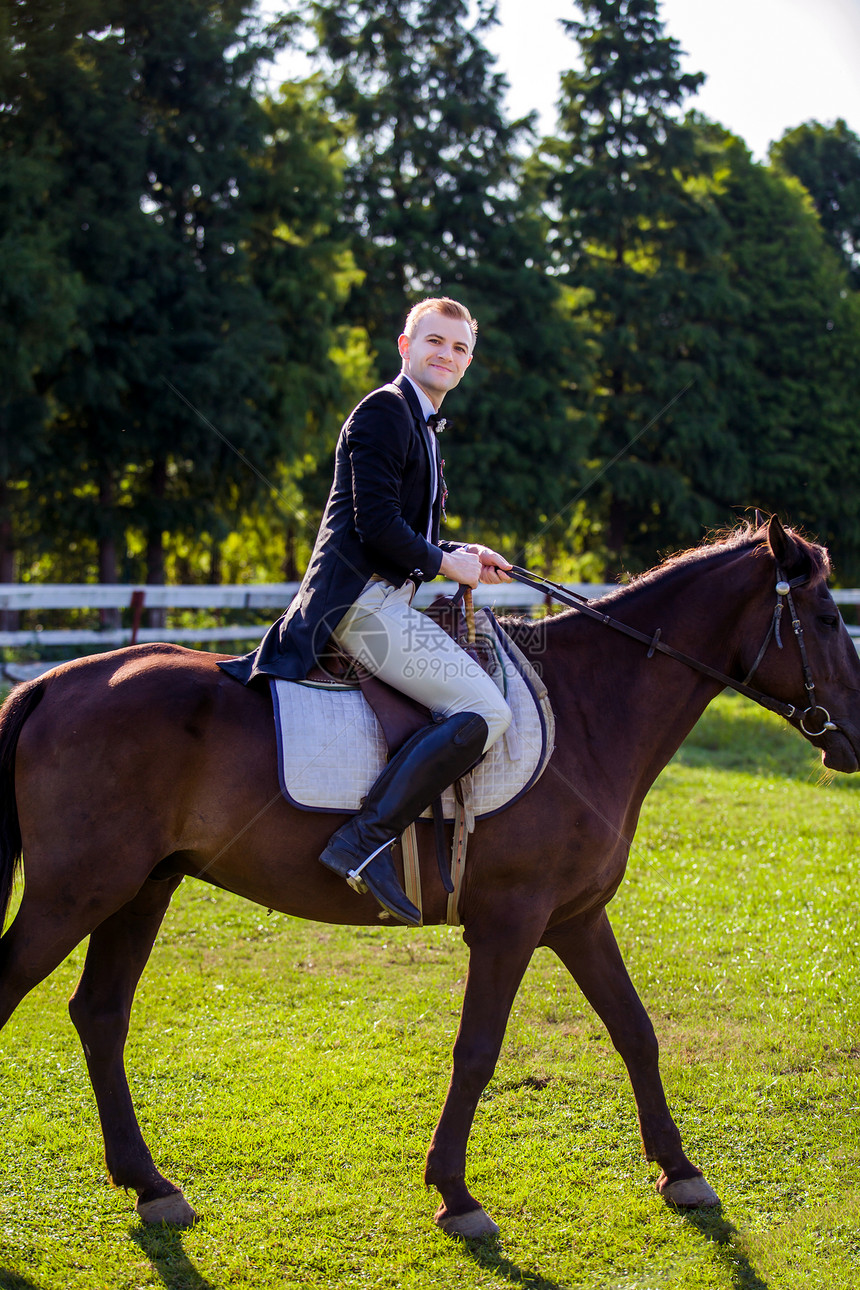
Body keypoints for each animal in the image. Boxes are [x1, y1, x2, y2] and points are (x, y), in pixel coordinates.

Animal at [1, 516, 860, 1238]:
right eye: (824, 620)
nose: (854, 738)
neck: (589, 710)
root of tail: (58, 681)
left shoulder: (576, 918)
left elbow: (635, 1031)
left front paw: (680, 1171)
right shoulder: (511, 923)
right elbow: (478, 1049)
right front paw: (456, 1193)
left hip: (141, 889)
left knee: (100, 1015)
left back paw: (150, 1185)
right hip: (74, 893)